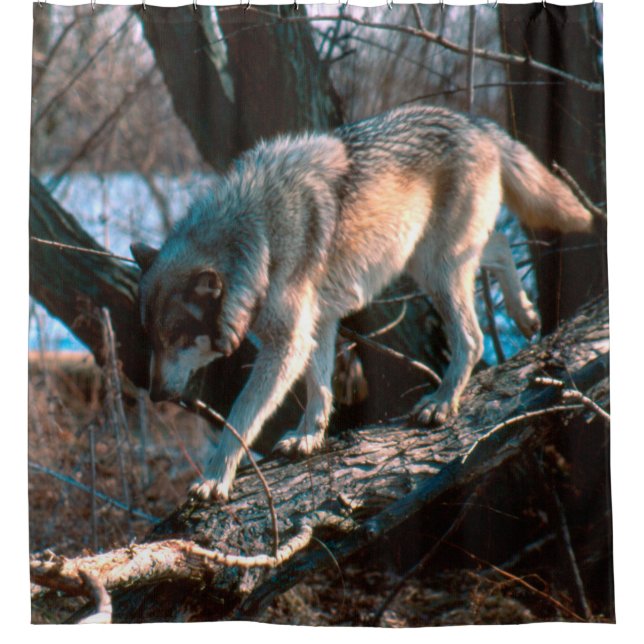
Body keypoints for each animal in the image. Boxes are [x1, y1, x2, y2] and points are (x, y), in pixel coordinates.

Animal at [131, 105, 593, 502]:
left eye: (178, 340)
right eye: (151, 340)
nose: (154, 394)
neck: (257, 237)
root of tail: (475, 122)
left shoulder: (286, 346)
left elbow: (240, 416)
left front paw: (214, 479)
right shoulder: (316, 327)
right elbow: (319, 387)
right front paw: (308, 437)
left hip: (436, 270)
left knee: (474, 337)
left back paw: (442, 402)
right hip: (429, 261)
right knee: (498, 245)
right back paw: (525, 313)